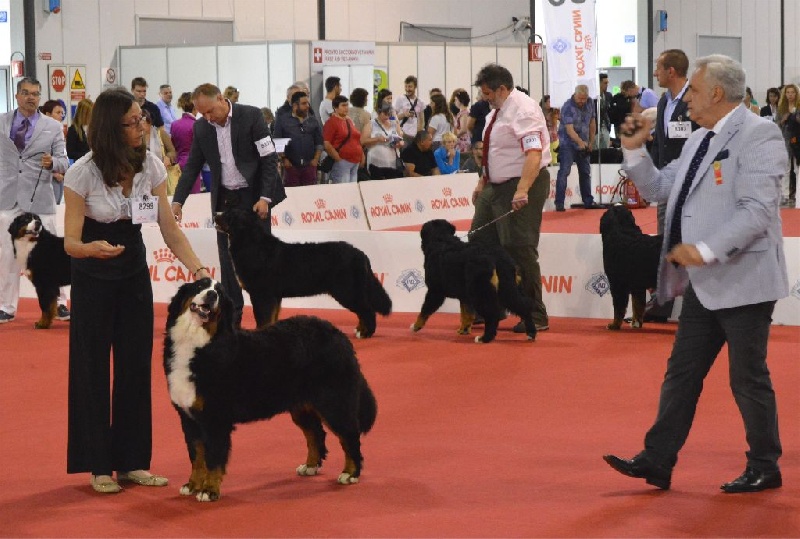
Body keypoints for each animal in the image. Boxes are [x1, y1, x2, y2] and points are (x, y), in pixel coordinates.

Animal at [164, 278, 378, 502]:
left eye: (220, 294)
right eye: (200, 286)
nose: (211, 295)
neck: (197, 344)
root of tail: (338, 335)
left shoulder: (216, 420)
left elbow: (214, 459)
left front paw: (209, 490)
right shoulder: (188, 419)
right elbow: (196, 457)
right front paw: (192, 485)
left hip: (334, 402)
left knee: (349, 435)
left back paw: (350, 473)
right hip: (301, 406)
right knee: (315, 433)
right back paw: (310, 466)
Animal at [214, 208, 392, 338]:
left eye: (229, 214)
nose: (215, 214)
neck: (251, 244)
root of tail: (361, 254)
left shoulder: (262, 294)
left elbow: (263, 318)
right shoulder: (274, 296)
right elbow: (272, 318)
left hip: (346, 290)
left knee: (367, 310)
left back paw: (365, 333)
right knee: (363, 310)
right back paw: (360, 329)